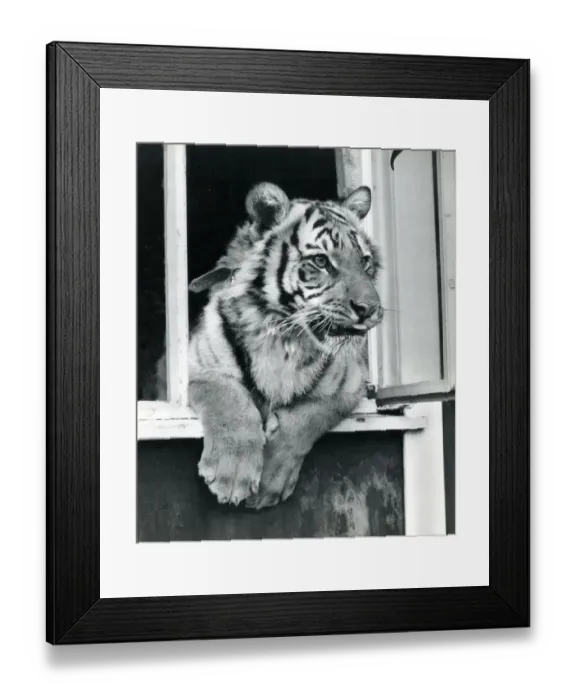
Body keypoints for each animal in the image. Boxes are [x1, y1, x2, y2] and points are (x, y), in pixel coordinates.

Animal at [159, 181, 384, 509]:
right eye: (321, 261)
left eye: (365, 262)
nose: (370, 309)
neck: (285, 338)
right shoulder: (194, 368)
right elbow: (229, 399)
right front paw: (231, 474)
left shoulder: (349, 386)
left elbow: (307, 419)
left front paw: (268, 481)